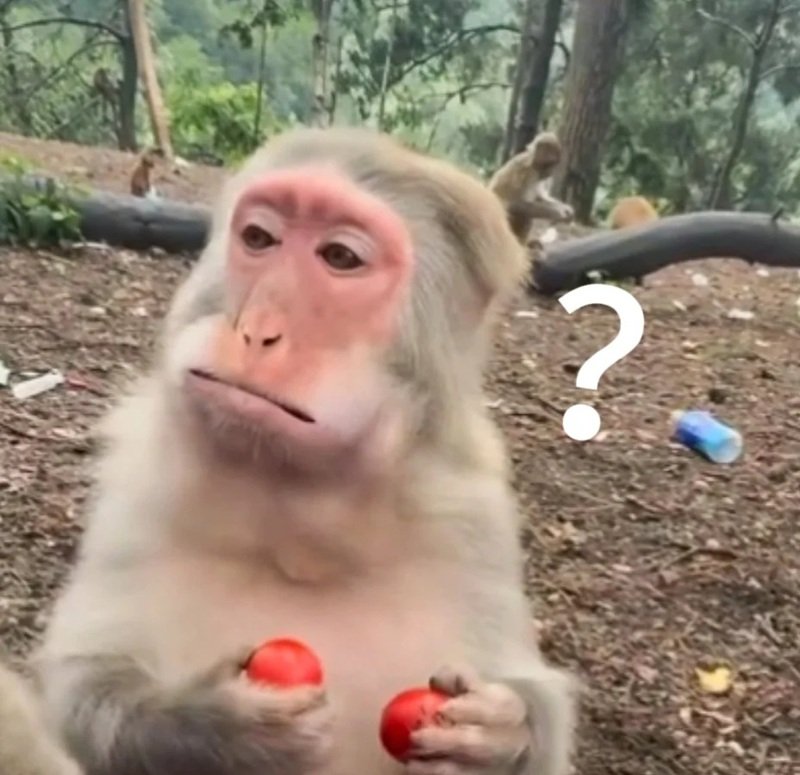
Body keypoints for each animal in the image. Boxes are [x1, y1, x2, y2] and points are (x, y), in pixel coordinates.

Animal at [37, 126, 577, 775]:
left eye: (340, 258)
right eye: (259, 239)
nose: (255, 330)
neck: (294, 523)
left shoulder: (476, 523)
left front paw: (501, 731)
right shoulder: (137, 482)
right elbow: (77, 682)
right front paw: (215, 725)